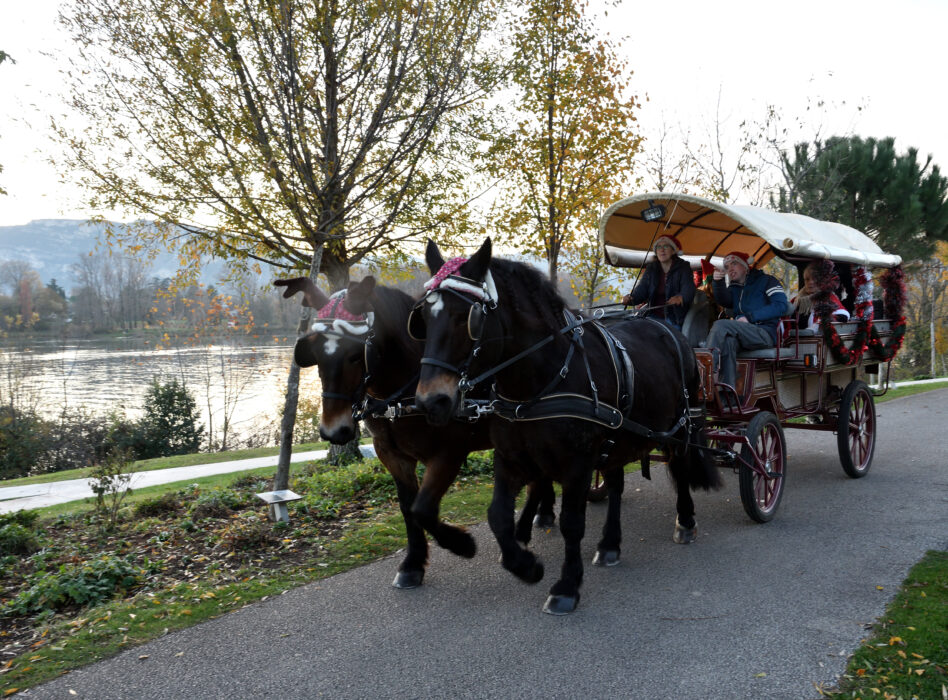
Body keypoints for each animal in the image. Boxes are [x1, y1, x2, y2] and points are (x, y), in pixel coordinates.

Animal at [274, 276, 556, 588]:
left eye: (355, 355)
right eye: (315, 355)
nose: (334, 430)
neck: (406, 392)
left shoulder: (449, 453)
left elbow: (423, 509)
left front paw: (462, 544)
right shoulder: (391, 455)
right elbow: (408, 509)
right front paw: (413, 563)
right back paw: (541, 514)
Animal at [412, 239, 720, 612]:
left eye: (467, 318)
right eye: (422, 319)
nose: (430, 401)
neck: (539, 382)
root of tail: (666, 328)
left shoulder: (578, 464)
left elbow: (572, 524)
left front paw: (566, 586)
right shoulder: (510, 458)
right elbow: (497, 516)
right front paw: (523, 564)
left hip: (679, 427)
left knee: (681, 466)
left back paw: (685, 522)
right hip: (620, 438)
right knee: (616, 485)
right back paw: (610, 544)